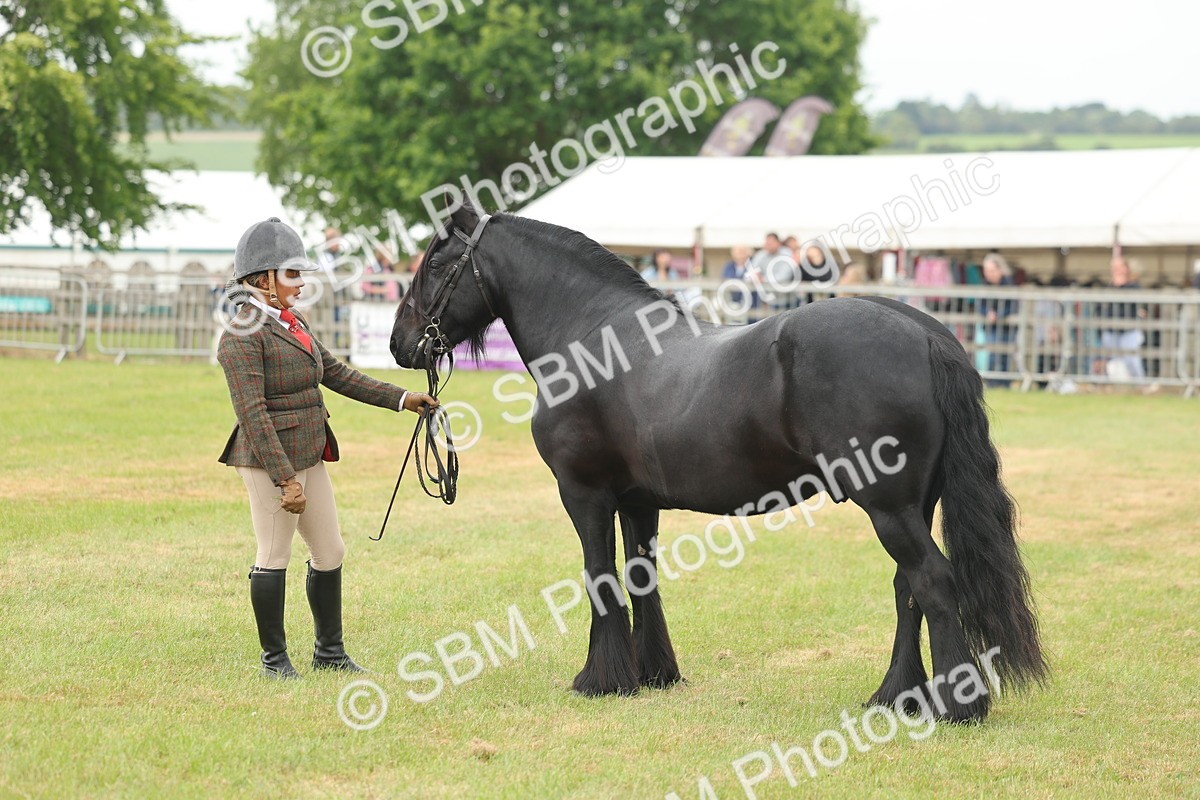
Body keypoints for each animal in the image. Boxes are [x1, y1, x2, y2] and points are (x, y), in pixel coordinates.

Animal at [389, 201, 1047, 722]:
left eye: (436, 264)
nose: (400, 344)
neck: (593, 340)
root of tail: (927, 334)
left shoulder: (584, 494)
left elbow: (600, 577)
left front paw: (601, 681)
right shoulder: (637, 502)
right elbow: (641, 576)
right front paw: (654, 674)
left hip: (890, 507)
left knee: (932, 580)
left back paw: (958, 706)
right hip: (913, 505)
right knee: (907, 587)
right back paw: (894, 696)